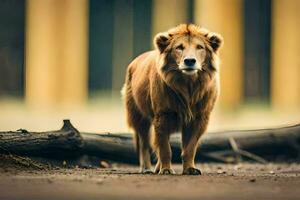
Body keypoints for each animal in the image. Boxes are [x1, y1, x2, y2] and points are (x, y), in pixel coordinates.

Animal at [122, 23, 223, 175]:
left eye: (200, 47)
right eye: (179, 47)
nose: (189, 61)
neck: (188, 87)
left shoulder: (199, 118)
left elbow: (190, 148)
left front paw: (190, 169)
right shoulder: (162, 115)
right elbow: (164, 148)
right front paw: (166, 170)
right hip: (139, 116)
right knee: (144, 143)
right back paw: (146, 168)